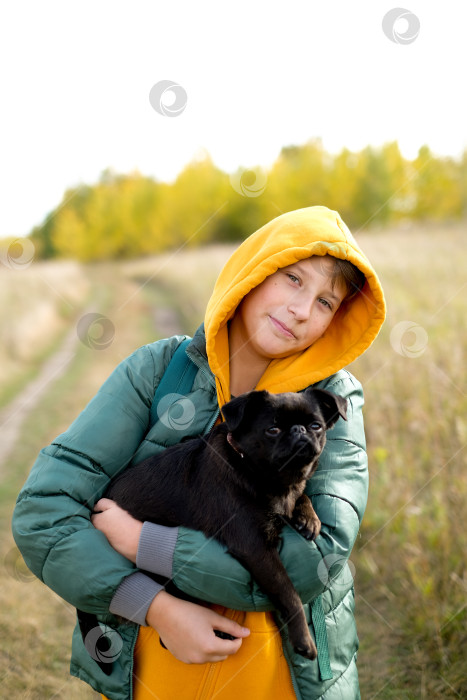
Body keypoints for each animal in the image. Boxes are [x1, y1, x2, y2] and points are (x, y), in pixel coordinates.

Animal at [77, 388, 348, 668]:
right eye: (272, 430)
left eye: (316, 426)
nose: (299, 430)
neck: (267, 476)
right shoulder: (256, 549)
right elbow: (289, 592)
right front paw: (303, 639)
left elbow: (300, 496)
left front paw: (308, 516)